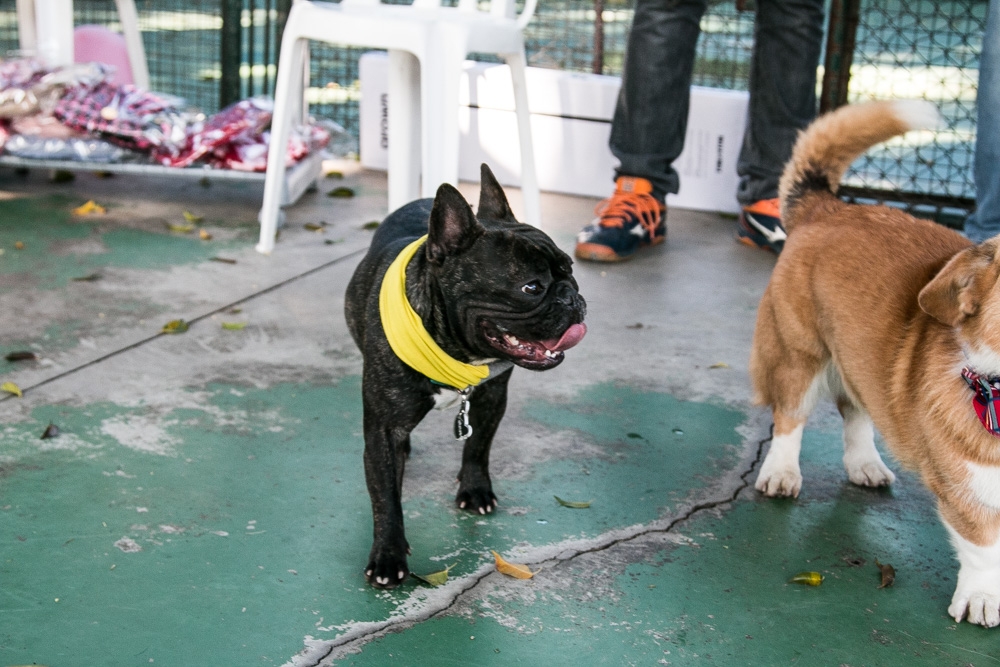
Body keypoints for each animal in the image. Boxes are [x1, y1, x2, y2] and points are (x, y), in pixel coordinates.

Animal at [752, 99, 1000, 628]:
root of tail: (831, 206)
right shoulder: (965, 487)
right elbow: (983, 546)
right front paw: (982, 597)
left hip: (861, 357)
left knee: (858, 412)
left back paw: (865, 464)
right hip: (800, 355)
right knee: (790, 417)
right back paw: (781, 473)